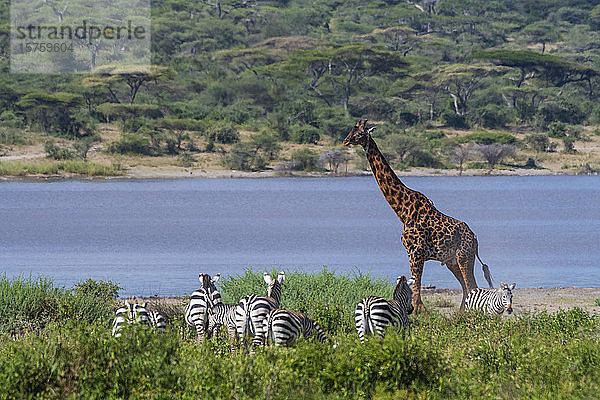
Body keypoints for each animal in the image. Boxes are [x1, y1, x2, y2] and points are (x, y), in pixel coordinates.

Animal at [342, 119, 492, 312]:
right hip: (451, 261)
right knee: (466, 288)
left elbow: (416, 294)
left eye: (360, 133)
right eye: (351, 130)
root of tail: (475, 238)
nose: (345, 141)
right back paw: (461, 314)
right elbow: (416, 292)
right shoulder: (412, 253)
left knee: (471, 286)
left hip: (464, 256)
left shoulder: (416, 252)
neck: (402, 211)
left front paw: (418, 312)